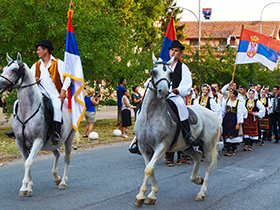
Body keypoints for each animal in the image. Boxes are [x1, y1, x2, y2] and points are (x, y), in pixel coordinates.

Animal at [0, 53, 75, 197]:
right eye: (3, 69)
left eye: (14, 70)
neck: (27, 111)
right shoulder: (20, 143)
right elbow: (26, 162)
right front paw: (28, 187)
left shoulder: (38, 141)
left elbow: (29, 162)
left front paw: (24, 187)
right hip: (51, 143)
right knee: (57, 154)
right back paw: (56, 178)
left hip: (68, 139)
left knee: (67, 158)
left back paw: (63, 182)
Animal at [134, 53, 221, 206]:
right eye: (153, 72)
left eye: (170, 73)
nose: (163, 92)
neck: (150, 116)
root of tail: (211, 112)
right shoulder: (144, 148)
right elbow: (150, 169)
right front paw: (151, 194)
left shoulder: (161, 147)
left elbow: (149, 169)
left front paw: (141, 195)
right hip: (186, 146)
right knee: (197, 158)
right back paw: (196, 179)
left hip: (208, 145)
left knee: (208, 166)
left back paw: (201, 192)